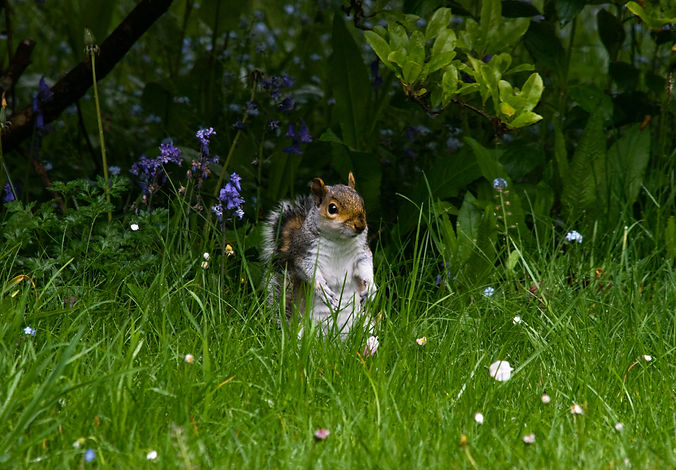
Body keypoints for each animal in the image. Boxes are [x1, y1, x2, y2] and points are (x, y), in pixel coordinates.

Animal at [261, 172, 377, 337]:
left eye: (362, 203)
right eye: (332, 208)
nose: (361, 226)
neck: (339, 240)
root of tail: (335, 339)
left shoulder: (361, 252)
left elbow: (366, 265)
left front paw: (371, 287)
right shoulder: (305, 254)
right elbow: (309, 271)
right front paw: (323, 290)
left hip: (367, 323)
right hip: (303, 328)